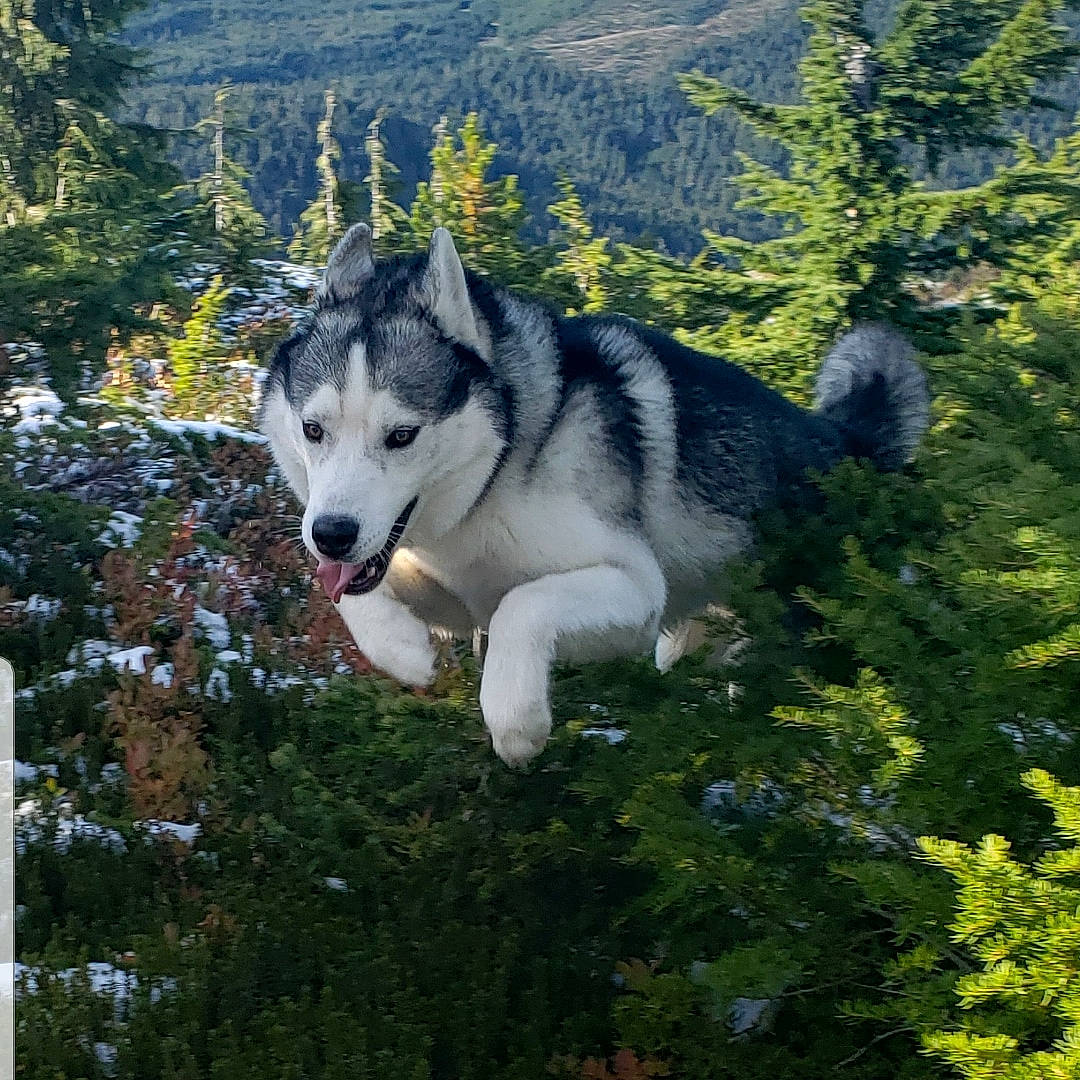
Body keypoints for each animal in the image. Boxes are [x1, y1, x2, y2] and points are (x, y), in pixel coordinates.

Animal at [259, 223, 929, 766]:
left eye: (402, 435)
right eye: (313, 429)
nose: (333, 534)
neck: (495, 477)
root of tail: (849, 446)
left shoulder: (635, 594)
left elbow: (523, 606)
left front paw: (518, 724)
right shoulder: (449, 594)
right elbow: (352, 598)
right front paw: (403, 650)